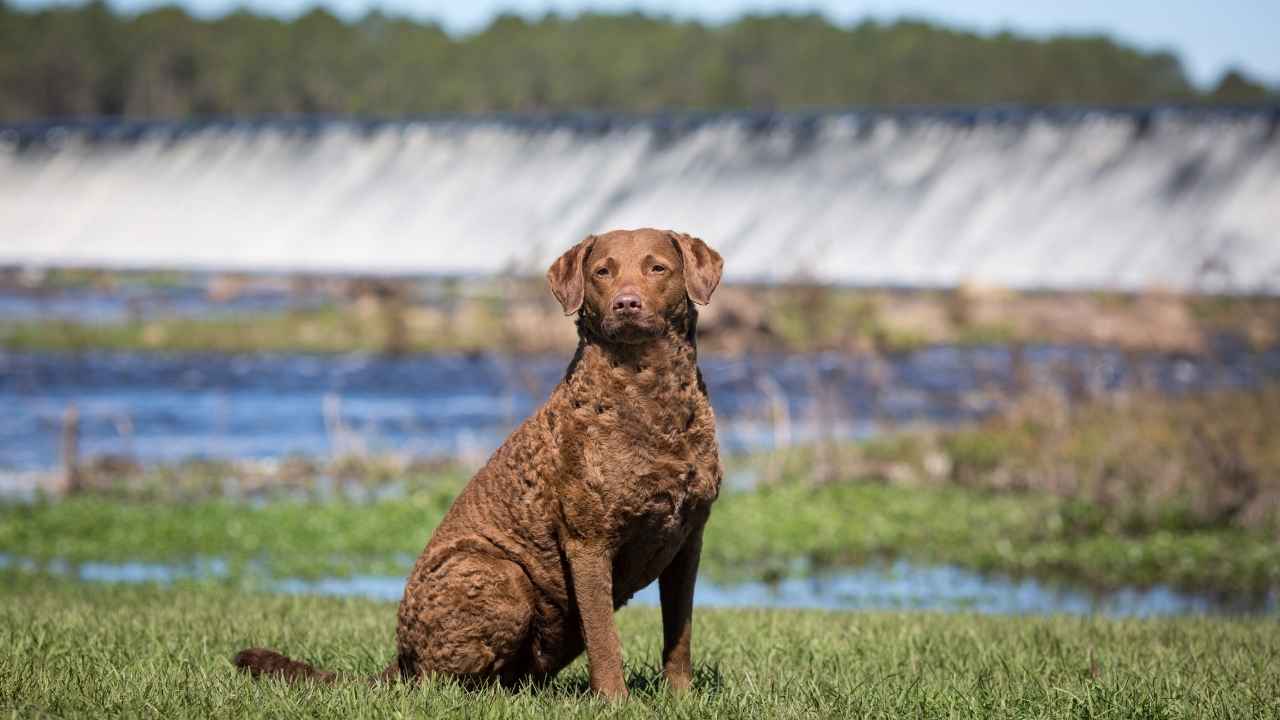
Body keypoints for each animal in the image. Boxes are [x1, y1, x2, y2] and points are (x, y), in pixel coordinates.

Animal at [236, 225, 727, 696]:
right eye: (602, 272)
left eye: (657, 268)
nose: (626, 303)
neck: (650, 398)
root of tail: (401, 657)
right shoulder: (588, 541)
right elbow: (605, 640)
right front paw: (614, 702)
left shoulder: (689, 539)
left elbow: (679, 634)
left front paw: (680, 697)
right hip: (499, 575)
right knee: (440, 682)